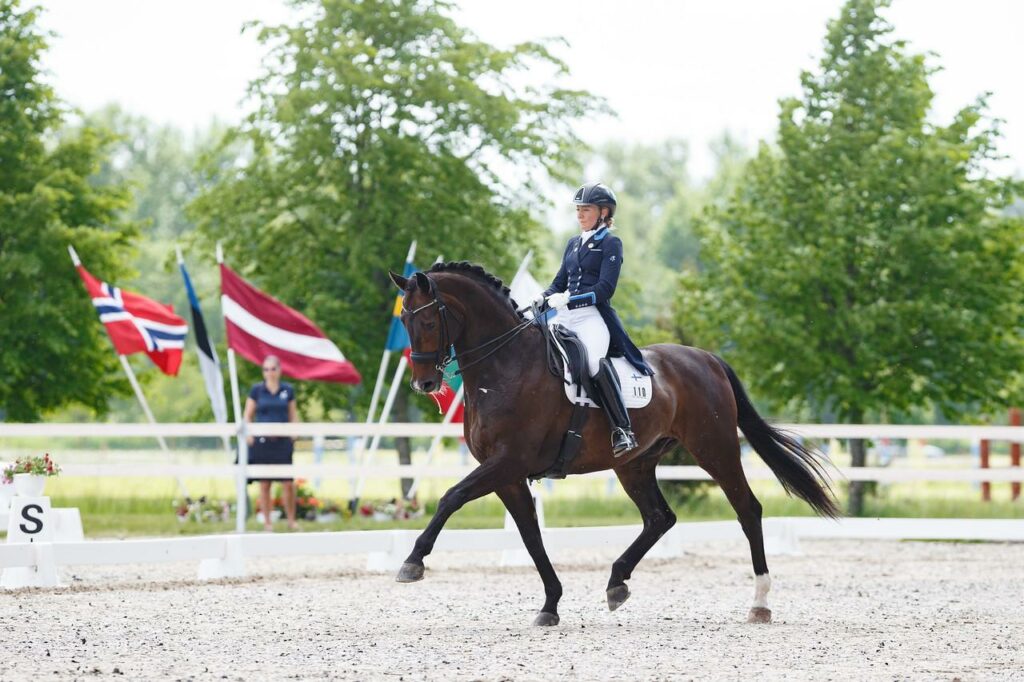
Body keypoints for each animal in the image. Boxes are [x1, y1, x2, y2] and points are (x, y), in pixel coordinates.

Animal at [387, 262, 835, 622]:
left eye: (429, 322)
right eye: (405, 320)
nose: (424, 384)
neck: (505, 365)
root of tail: (707, 358)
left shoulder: (508, 462)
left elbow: (451, 497)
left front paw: (412, 562)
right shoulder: (508, 475)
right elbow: (530, 536)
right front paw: (551, 604)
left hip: (715, 448)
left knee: (747, 509)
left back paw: (760, 603)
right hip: (634, 463)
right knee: (660, 518)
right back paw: (617, 583)